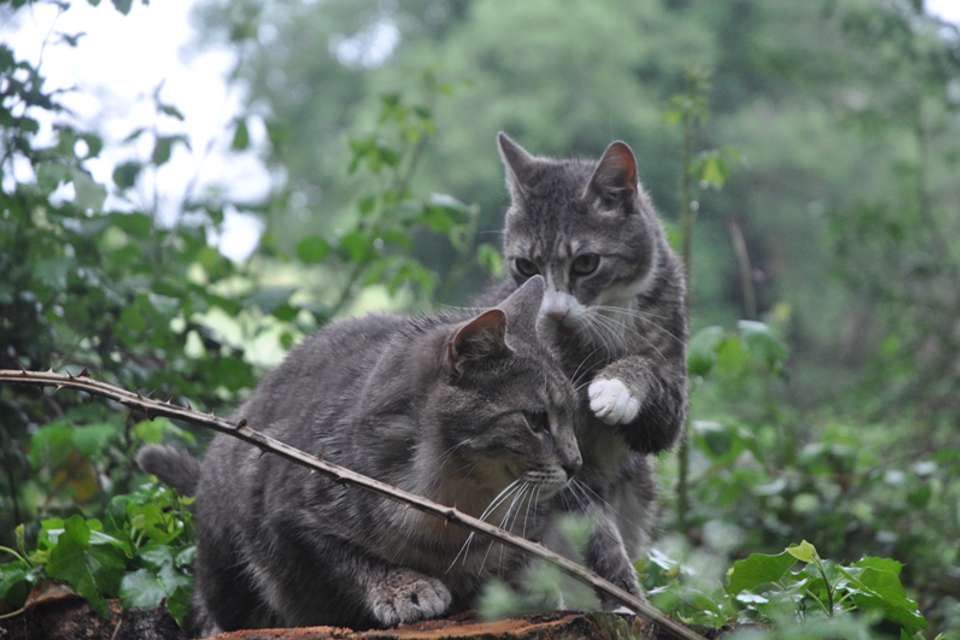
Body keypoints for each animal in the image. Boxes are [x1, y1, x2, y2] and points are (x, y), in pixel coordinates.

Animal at [138, 276, 580, 636]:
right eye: (536, 419)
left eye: (571, 413)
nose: (575, 464)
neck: (453, 498)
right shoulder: (286, 511)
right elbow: (346, 557)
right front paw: (405, 587)